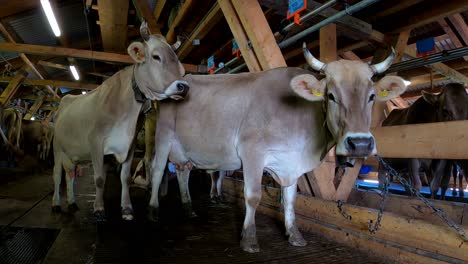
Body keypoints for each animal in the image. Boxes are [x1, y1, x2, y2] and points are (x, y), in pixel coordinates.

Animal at [50, 21, 188, 221]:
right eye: (156, 57)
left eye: (179, 64)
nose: (184, 87)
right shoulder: (96, 143)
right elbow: (99, 179)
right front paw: (99, 209)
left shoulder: (129, 145)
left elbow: (125, 177)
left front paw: (126, 208)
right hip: (57, 148)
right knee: (57, 175)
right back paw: (55, 204)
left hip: (71, 153)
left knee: (70, 174)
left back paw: (72, 202)